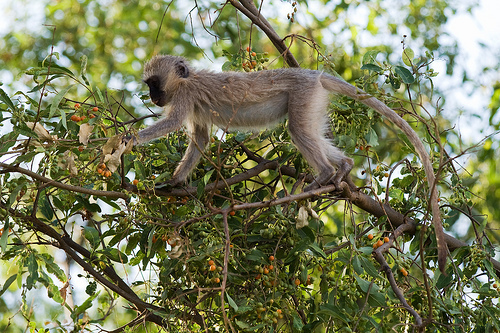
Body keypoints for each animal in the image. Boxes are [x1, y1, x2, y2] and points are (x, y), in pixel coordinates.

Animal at [129, 54, 446, 272]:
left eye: (155, 84)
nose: (152, 97)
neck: (186, 79)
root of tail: (314, 75)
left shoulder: (185, 95)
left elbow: (172, 124)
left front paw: (126, 140)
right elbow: (200, 140)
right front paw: (175, 181)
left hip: (304, 96)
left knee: (299, 130)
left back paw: (324, 175)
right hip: (313, 101)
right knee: (310, 131)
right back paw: (342, 167)